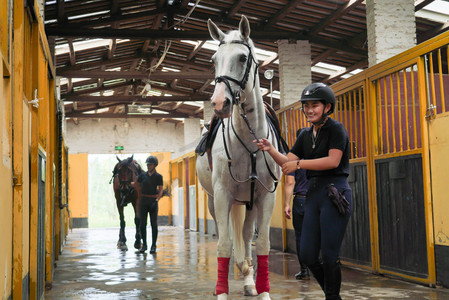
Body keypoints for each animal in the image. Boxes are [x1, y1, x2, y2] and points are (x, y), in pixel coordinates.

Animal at [197, 15, 280, 300]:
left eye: (243, 58)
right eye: (213, 60)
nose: (219, 103)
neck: (249, 142)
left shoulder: (265, 196)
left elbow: (262, 243)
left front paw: (262, 290)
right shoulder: (223, 195)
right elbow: (224, 244)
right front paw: (221, 293)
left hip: (249, 201)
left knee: (244, 235)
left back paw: (248, 279)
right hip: (215, 200)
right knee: (231, 237)